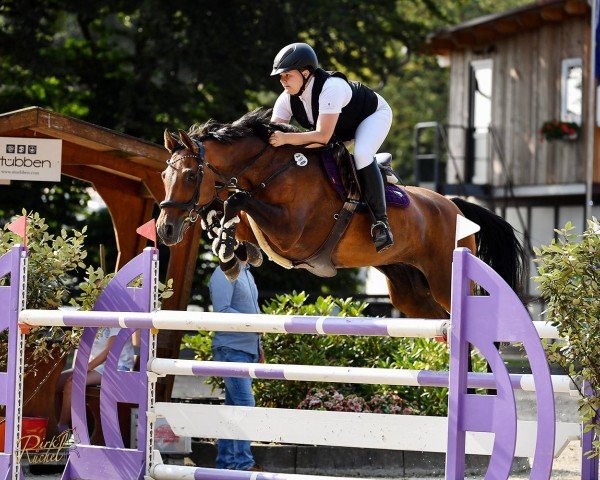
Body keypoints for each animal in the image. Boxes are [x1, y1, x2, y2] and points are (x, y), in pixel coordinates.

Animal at [156, 109, 524, 318]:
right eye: (163, 176)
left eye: (189, 176)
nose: (165, 230)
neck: (272, 168)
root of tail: (452, 205)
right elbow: (234, 214)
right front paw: (232, 253)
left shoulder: (292, 234)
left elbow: (237, 202)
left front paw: (230, 250)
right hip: (409, 290)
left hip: (444, 277)